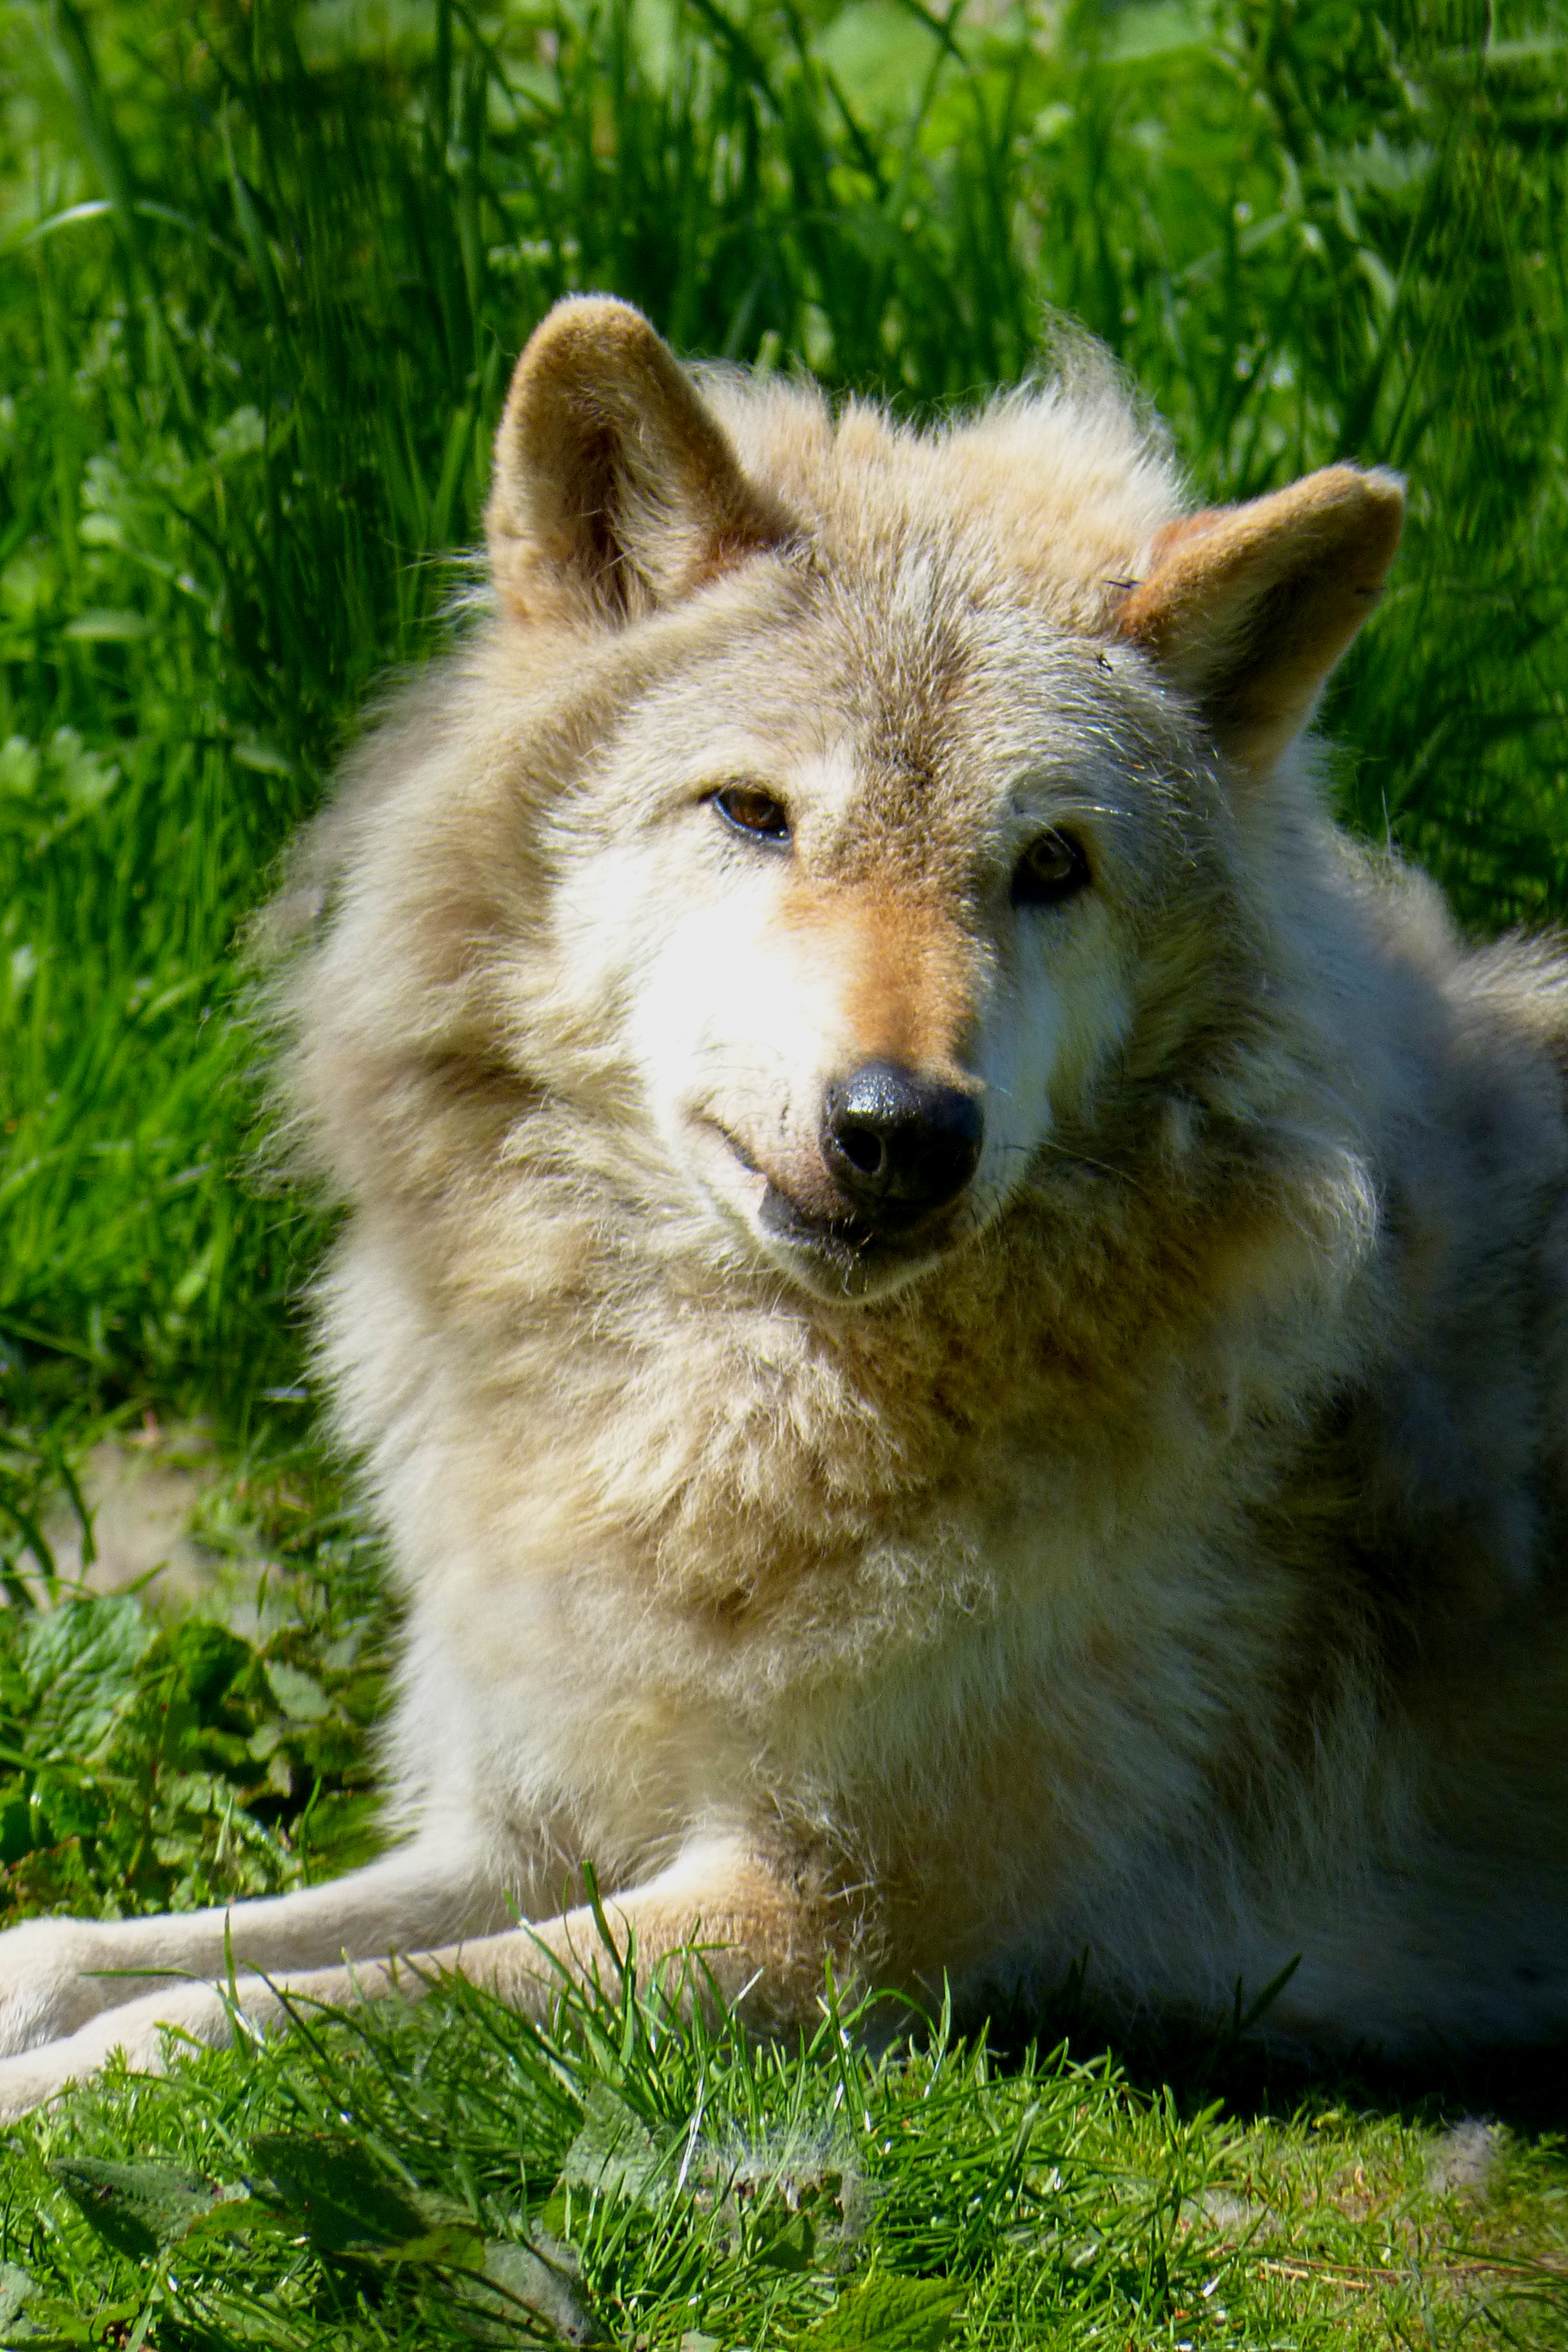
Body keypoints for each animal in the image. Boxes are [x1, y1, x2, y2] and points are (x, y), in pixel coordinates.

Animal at [1, 294, 1565, 2114]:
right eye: (753, 810)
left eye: (1050, 866)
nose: (904, 1131)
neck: (732, 1412)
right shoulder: (529, 1823)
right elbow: (90, 1950)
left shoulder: (818, 1921)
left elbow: (233, 2020)